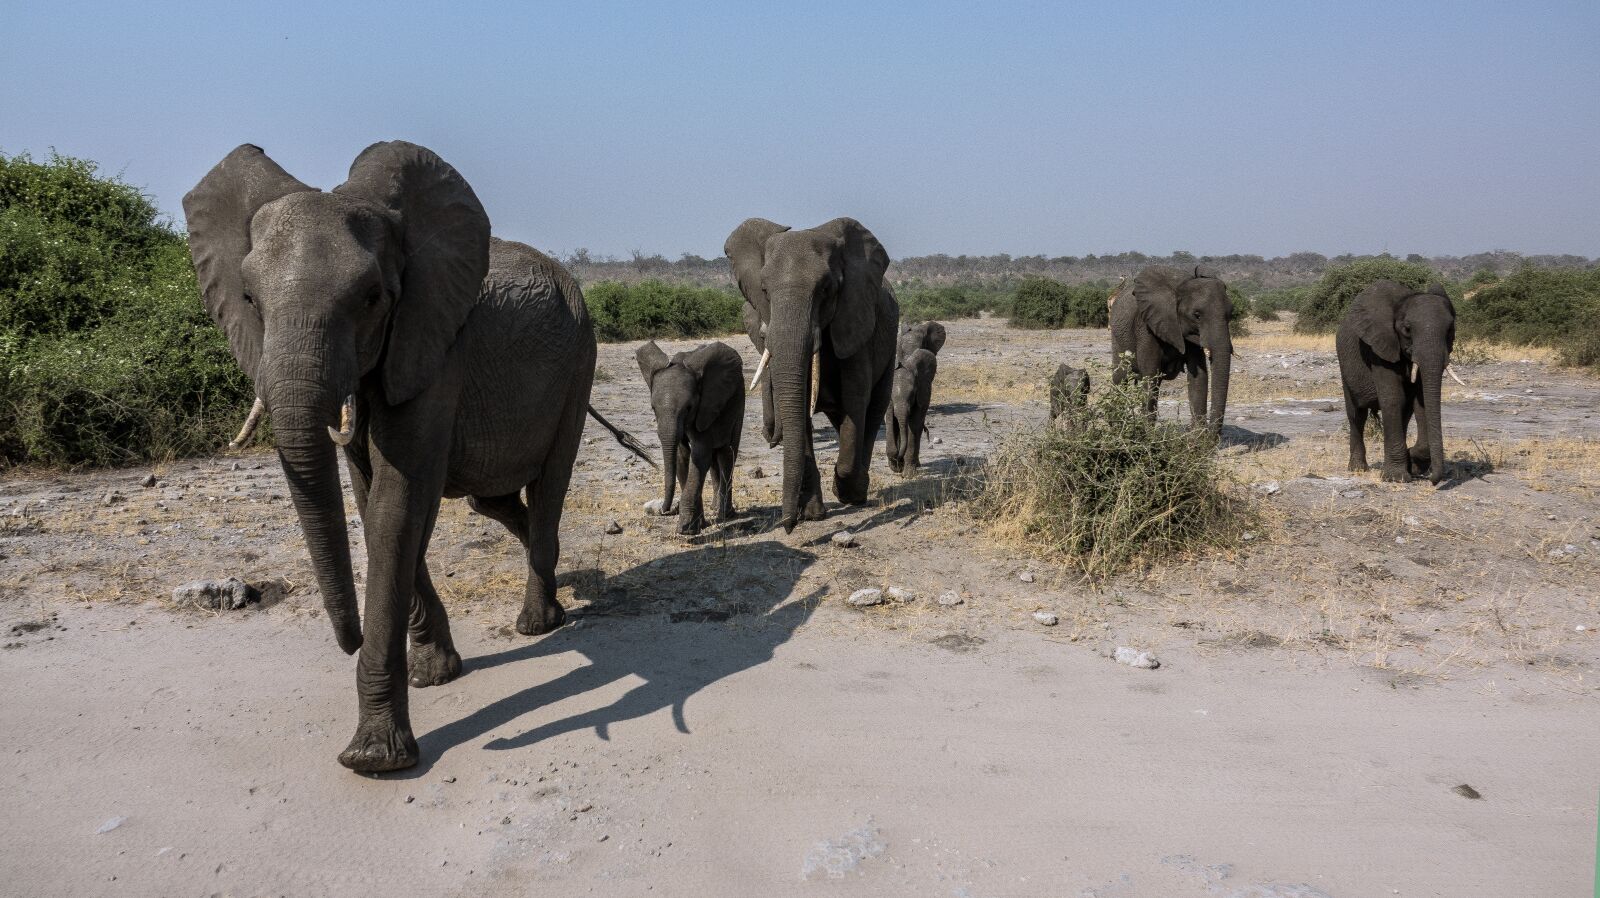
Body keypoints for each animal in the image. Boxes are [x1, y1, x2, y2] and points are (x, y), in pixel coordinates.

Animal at [185, 142, 647, 772]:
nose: (349, 638)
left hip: (580, 358)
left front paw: (374, 759)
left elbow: (395, 503)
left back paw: (537, 623)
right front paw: (435, 675)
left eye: (371, 298)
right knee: (492, 500)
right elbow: (371, 495)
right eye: (250, 300)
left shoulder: (435, 348)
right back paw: (550, 589)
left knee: (550, 483)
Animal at [636, 340, 745, 534]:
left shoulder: (705, 407)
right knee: (715, 458)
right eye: (653, 408)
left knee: (727, 453)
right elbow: (682, 456)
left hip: (738, 401)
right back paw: (714, 509)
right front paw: (699, 524)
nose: (664, 510)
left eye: (689, 408)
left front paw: (686, 529)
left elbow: (699, 455)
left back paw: (725, 515)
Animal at [726, 218, 899, 531]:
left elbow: (856, 399)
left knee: (873, 410)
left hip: (889, 341)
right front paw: (812, 513)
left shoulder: (855, 323)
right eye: (764, 291)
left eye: (826, 289)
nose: (787, 525)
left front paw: (844, 492)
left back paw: (858, 491)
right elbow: (800, 404)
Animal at [1109, 265, 1234, 432]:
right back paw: (1116, 426)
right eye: (1197, 315)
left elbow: (1199, 377)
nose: (1212, 435)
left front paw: (1198, 437)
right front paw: (1147, 434)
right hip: (1117, 337)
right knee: (1120, 377)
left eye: (1231, 314)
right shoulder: (1147, 326)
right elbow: (1151, 375)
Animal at [1336, 280, 1460, 483]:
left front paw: (1414, 463)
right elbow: (1393, 399)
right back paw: (1358, 469)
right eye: (1407, 329)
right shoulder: (1379, 347)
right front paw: (1396, 478)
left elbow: (1421, 402)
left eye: (1450, 329)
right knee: (1356, 415)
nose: (1433, 480)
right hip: (1344, 367)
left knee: (1405, 413)